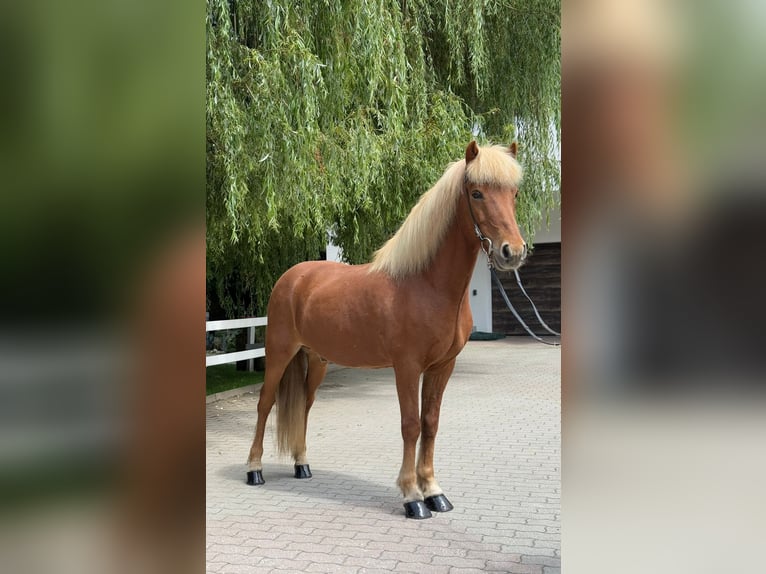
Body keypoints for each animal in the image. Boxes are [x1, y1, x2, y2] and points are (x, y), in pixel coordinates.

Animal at [246, 141, 527, 519]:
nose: (513, 252)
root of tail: (291, 277)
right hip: (279, 353)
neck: (427, 284)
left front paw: (434, 491)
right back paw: (254, 469)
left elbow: (431, 423)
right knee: (265, 404)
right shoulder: (406, 367)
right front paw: (412, 497)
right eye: (477, 193)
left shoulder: (442, 367)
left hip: (316, 360)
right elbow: (411, 425)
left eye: (514, 193)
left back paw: (302, 465)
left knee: (304, 405)